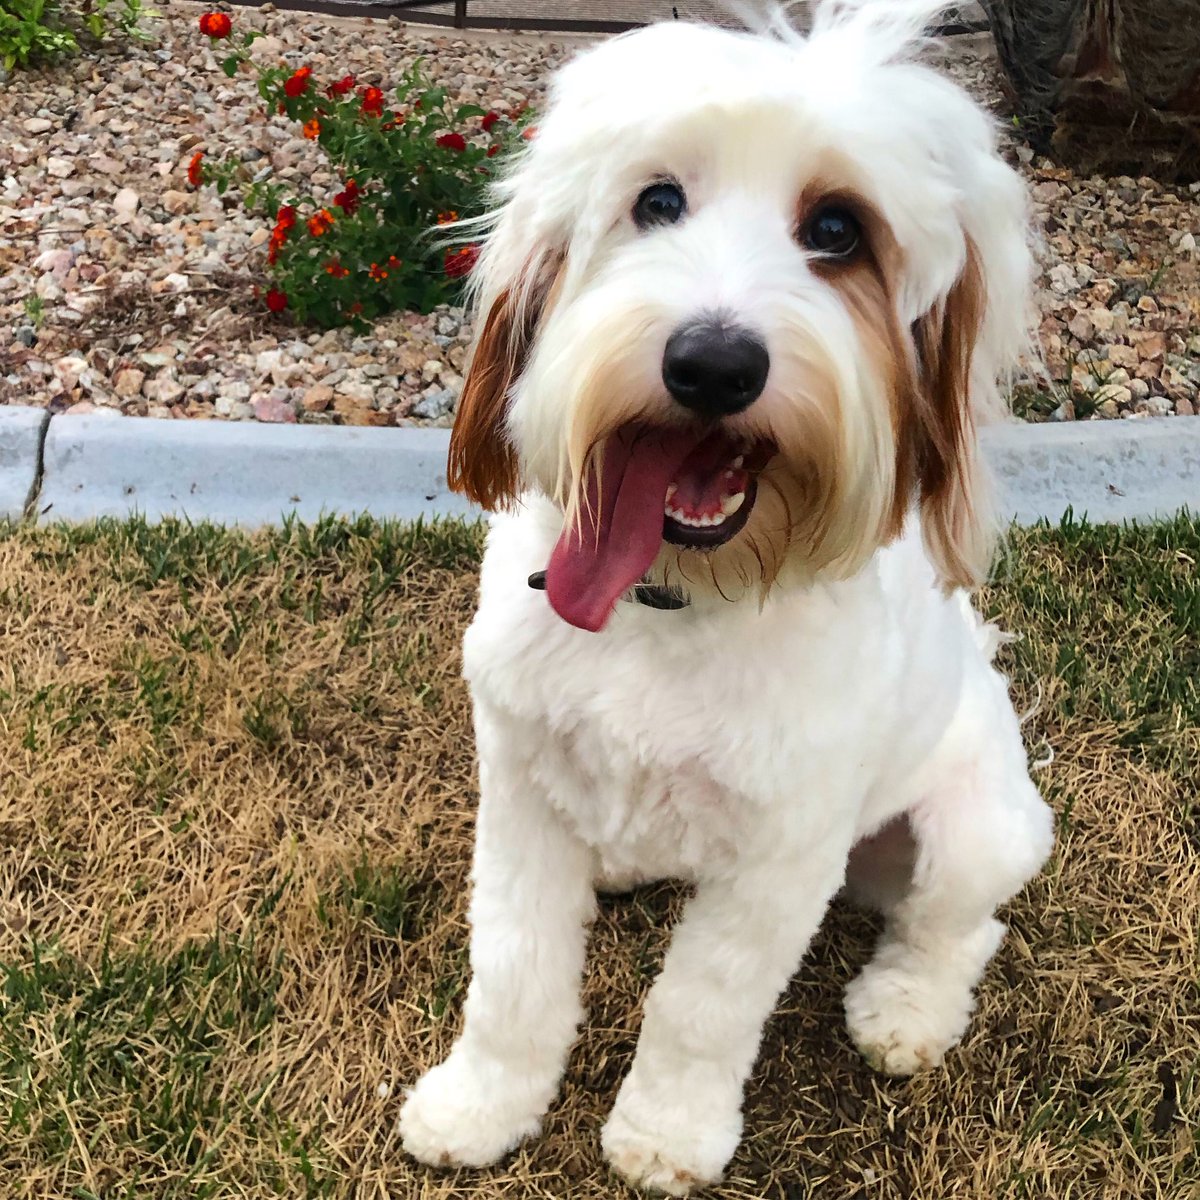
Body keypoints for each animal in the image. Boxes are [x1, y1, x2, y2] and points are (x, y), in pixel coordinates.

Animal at [400, 7, 1051, 1190]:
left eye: (838, 230)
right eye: (657, 202)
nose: (712, 364)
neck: (669, 603)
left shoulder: (781, 857)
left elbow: (700, 1007)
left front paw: (664, 1136)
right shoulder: (518, 788)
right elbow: (513, 965)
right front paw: (482, 1106)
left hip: (974, 831)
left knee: (961, 928)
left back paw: (905, 1010)